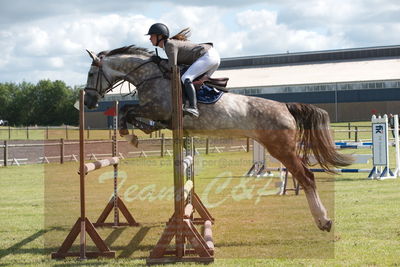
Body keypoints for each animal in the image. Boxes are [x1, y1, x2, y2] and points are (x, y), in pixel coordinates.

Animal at [83, 45, 352, 233]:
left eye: (91, 73)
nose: (89, 102)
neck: (150, 76)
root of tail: (285, 106)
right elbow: (129, 112)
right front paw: (141, 132)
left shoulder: (157, 109)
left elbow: (127, 111)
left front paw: (132, 136)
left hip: (281, 148)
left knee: (307, 178)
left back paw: (323, 221)